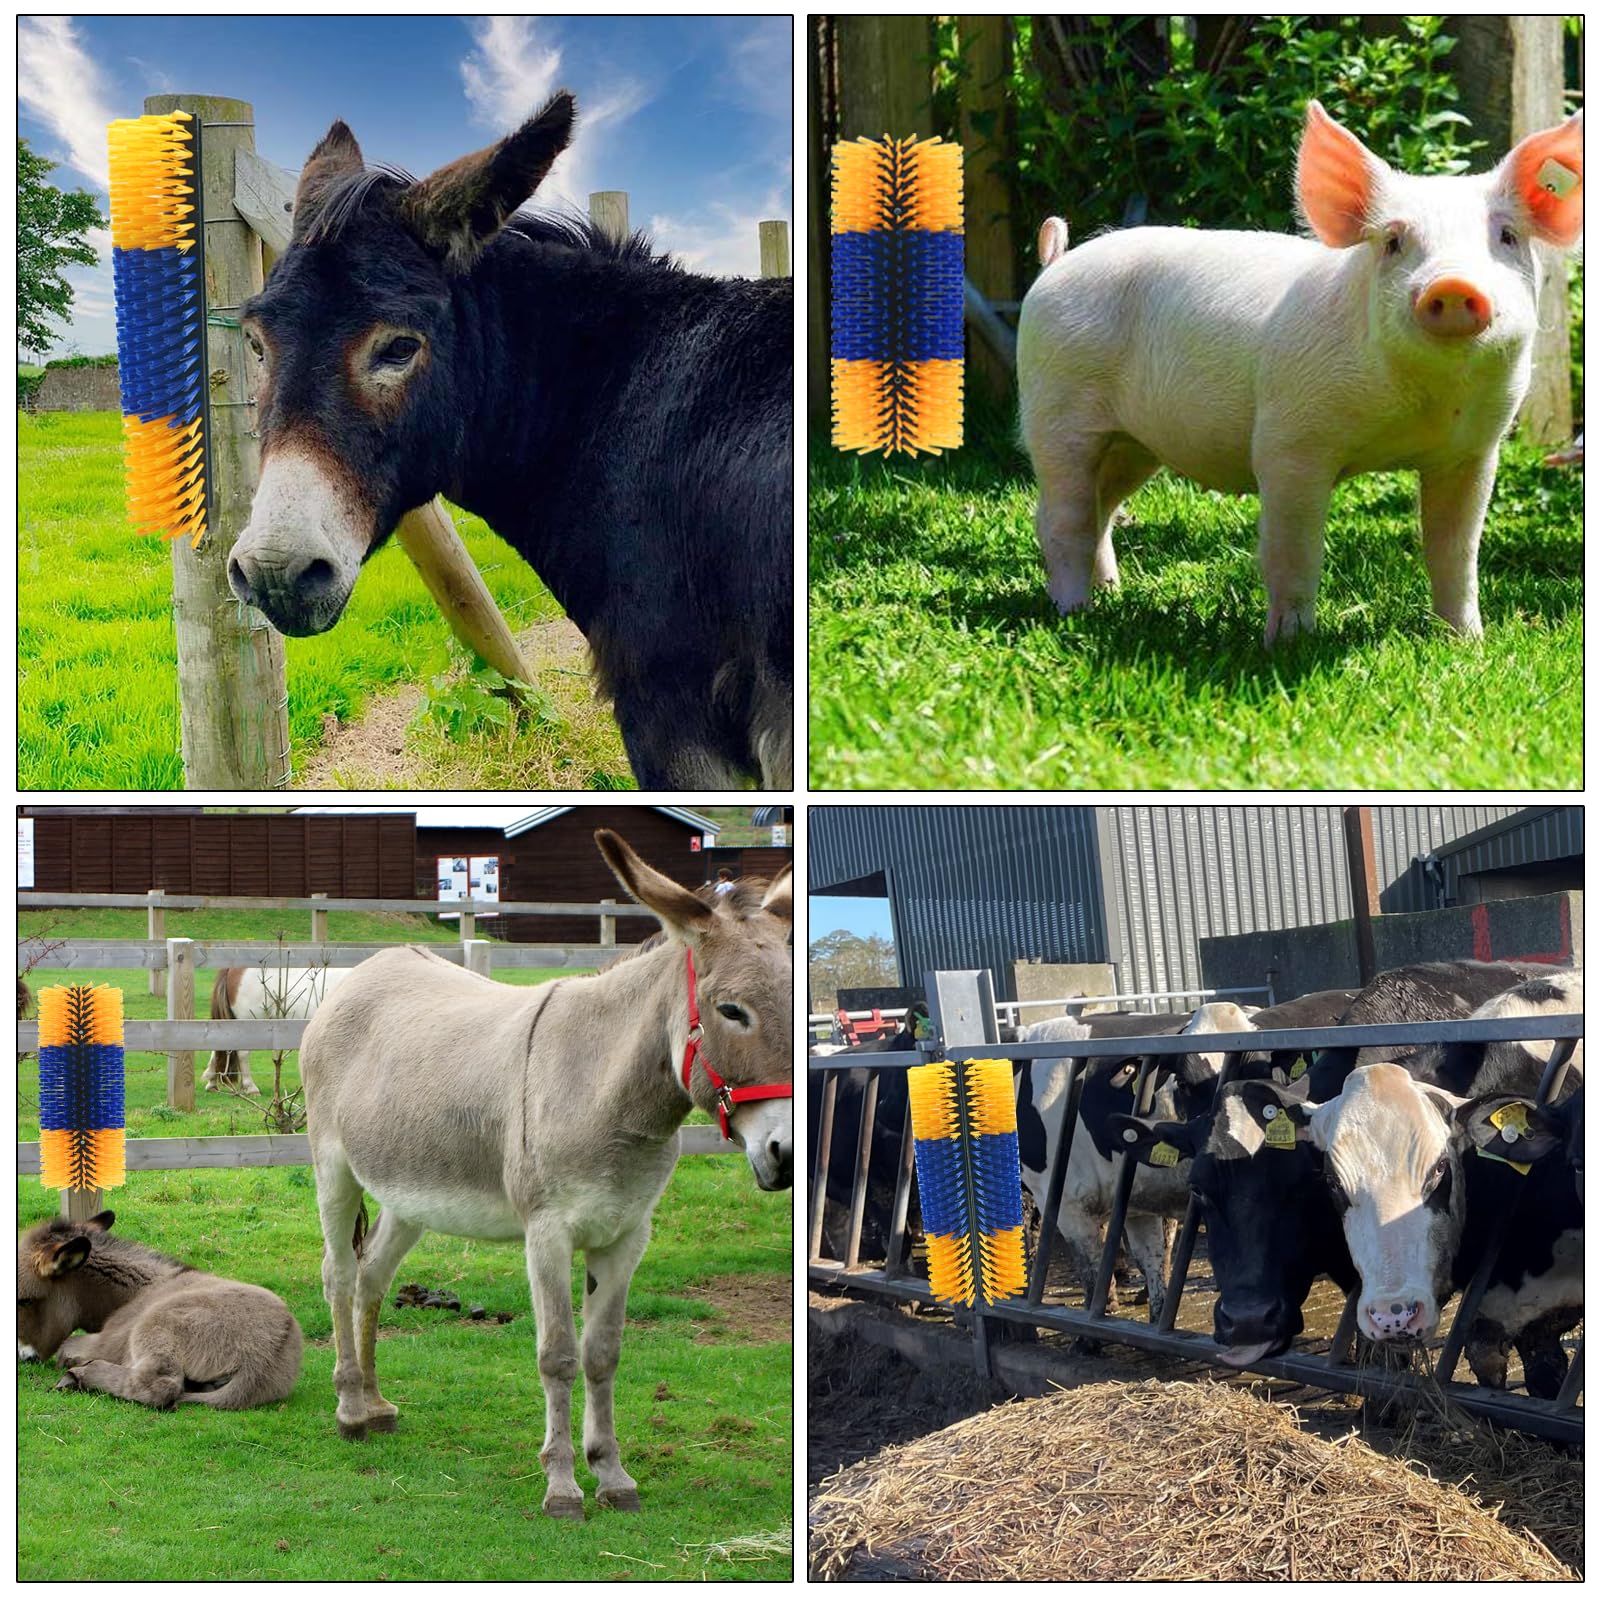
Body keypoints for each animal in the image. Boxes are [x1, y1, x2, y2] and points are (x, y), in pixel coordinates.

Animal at [298, 829, 792, 1519]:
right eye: (732, 1011)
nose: (786, 1154)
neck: (607, 1093)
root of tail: (371, 966)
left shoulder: (626, 1234)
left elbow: (603, 1353)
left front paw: (612, 1474)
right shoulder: (547, 1233)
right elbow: (558, 1355)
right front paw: (562, 1487)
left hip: (410, 1193)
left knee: (372, 1277)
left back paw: (375, 1405)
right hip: (334, 1167)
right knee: (339, 1275)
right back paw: (348, 1408)